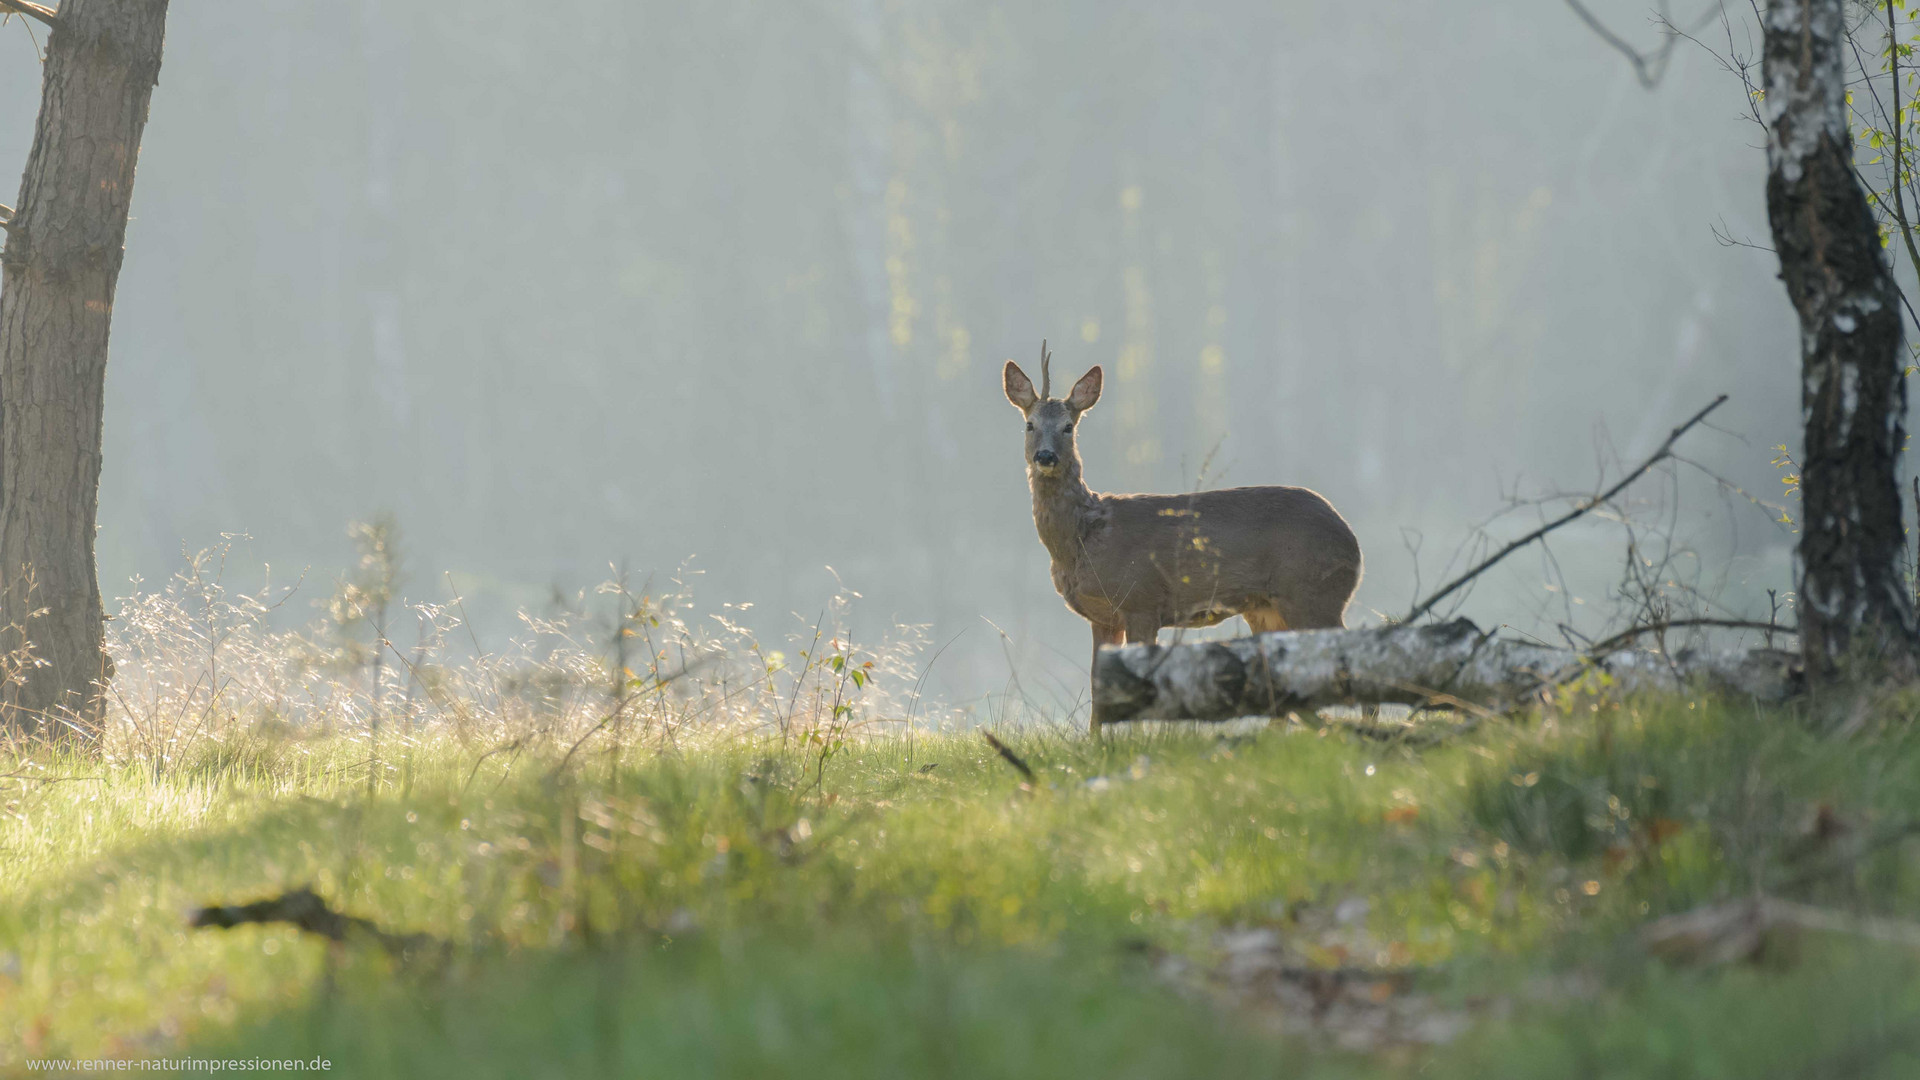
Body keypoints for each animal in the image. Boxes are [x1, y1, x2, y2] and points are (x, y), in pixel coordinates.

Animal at [1006, 343, 1367, 730]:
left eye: (1068, 426)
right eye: (1029, 424)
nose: (1046, 456)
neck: (1083, 540)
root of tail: (1353, 543)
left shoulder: (1141, 600)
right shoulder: (1103, 617)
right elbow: (1097, 689)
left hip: (1312, 592)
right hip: (1267, 609)